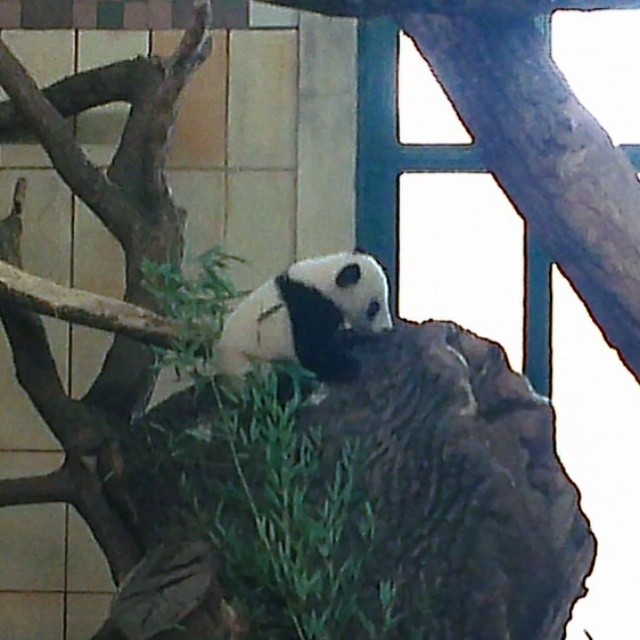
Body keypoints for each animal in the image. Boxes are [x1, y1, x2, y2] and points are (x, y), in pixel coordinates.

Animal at [215, 251, 393, 383]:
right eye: (374, 307)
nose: (386, 329)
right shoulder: (307, 306)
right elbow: (312, 350)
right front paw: (349, 367)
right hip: (253, 364)